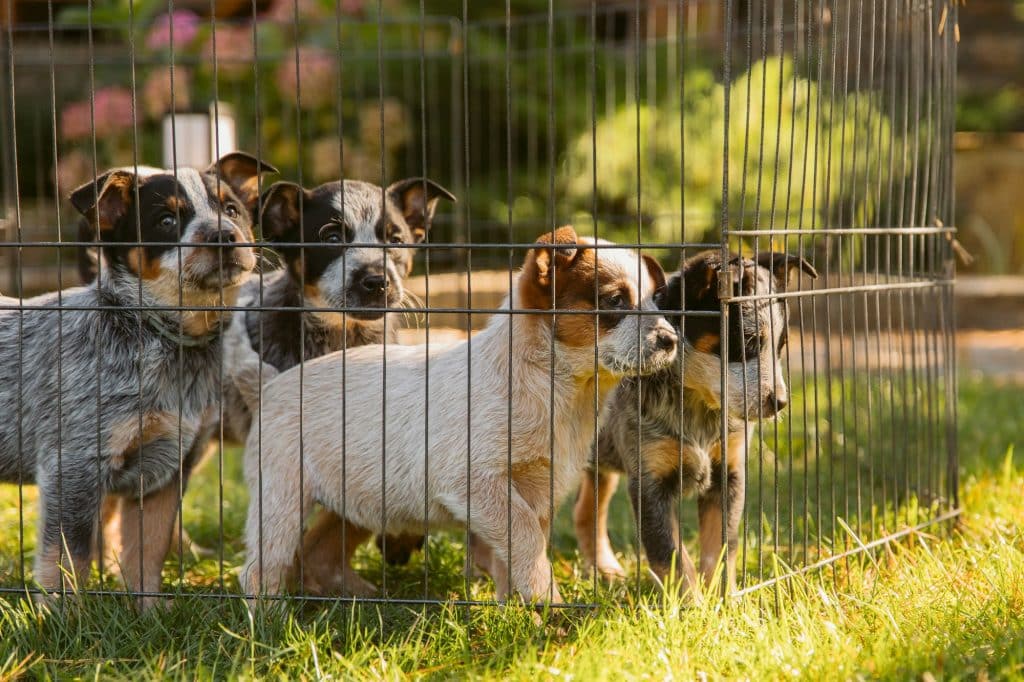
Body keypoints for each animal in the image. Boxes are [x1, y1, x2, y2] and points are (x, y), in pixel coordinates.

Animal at [0, 152, 274, 602]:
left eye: (232, 210)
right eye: (166, 220)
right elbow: (68, 560)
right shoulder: (74, 465)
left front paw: (149, 610)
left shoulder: (167, 468)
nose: (224, 235)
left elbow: (148, 553)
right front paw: (62, 617)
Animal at [239, 225, 679, 598]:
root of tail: (269, 387)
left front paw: (521, 614)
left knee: (318, 554)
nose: (671, 339)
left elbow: (515, 559)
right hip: (281, 497)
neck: (555, 388)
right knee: (260, 569)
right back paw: (268, 622)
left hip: (354, 502)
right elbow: (528, 544)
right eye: (615, 301)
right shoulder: (476, 483)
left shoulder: (537, 489)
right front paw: (549, 605)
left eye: (656, 301)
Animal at [577, 248, 815, 593]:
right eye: (749, 343)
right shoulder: (650, 482)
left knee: (587, 510)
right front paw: (691, 602)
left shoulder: (728, 473)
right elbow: (671, 556)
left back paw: (606, 570)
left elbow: (722, 547)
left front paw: (724, 598)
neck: (698, 406)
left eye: (781, 347)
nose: (781, 403)